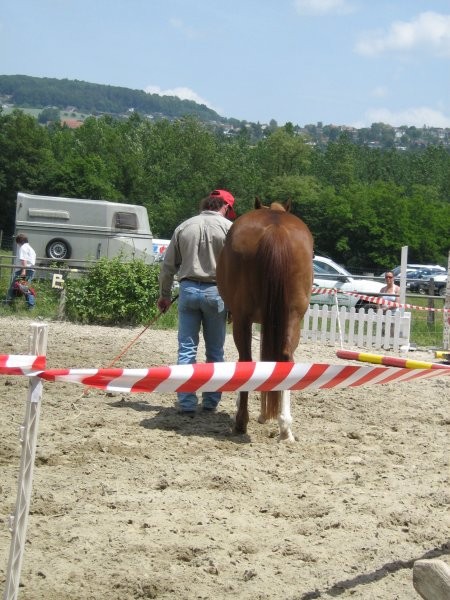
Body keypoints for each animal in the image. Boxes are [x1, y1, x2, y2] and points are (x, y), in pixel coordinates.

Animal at [217, 200, 312, 440]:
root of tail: (275, 229)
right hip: (293, 317)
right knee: (286, 358)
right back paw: (285, 427)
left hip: (242, 319)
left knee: (246, 360)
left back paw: (241, 422)